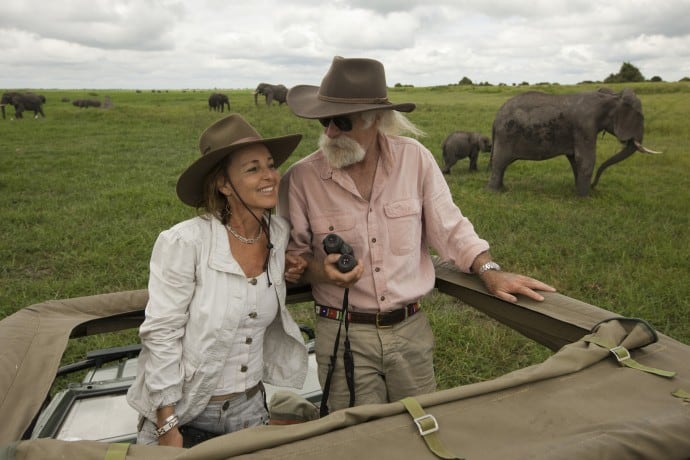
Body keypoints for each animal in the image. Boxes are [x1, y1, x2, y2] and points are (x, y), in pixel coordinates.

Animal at [486, 88, 660, 196]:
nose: (594, 186)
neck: (611, 96)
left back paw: (502, 188)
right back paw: (495, 192)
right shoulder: (585, 126)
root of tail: (495, 118)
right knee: (500, 163)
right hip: (506, 135)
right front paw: (584, 197)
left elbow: (575, 160)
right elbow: (586, 160)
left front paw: (579, 191)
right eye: (641, 117)